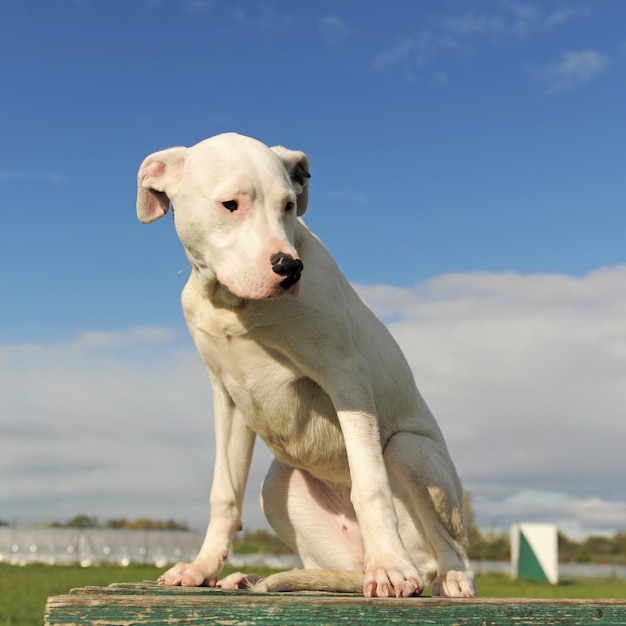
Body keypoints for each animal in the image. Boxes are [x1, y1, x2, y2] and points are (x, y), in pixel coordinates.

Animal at [134, 132, 470, 596]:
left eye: (288, 205)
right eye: (230, 205)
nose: (290, 268)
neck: (235, 306)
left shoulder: (346, 375)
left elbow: (371, 483)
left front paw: (389, 567)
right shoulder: (227, 396)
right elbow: (224, 492)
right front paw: (201, 569)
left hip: (408, 451)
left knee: (449, 552)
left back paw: (437, 575)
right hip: (278, 485)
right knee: (330, 565)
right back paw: (259, 578)